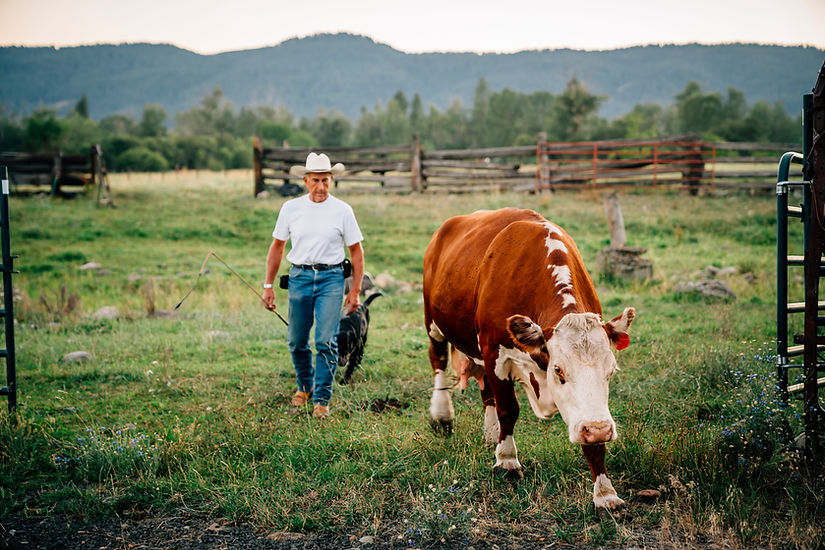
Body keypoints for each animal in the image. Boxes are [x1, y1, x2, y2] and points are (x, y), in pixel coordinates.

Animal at [423, 208, 635, 511]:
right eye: (558, 370)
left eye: (611, 370)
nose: (599, 430)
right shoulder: (494, 352)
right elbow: (508, 409)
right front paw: (507, 461)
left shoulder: (588, 413)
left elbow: (592, 440)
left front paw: (605, 493)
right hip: (434, 323)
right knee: (438, 361)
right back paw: (442, 415)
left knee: (485, 389)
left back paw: (491, 434)